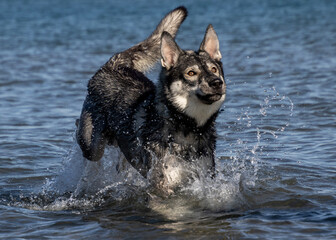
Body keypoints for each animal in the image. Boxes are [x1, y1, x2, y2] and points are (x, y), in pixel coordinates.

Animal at [77, 6, 226, 189]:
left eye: (214, 69)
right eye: (191, 73)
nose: (217, 83)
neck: (187, 126)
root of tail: (115, 63)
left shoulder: (203, 178)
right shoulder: (162, 184)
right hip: (92, 146)